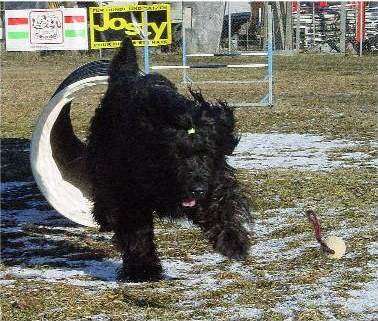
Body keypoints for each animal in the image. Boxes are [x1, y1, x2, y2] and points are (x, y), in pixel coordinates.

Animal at [86, 38, 252, 282]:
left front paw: (232, 241)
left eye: (205, 153)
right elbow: (137, 231)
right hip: (104, 159)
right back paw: (105, 217)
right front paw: (143, 269)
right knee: (103, 193)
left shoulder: (214, 178)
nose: (197, 189)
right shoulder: (132, 192)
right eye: (177, 155)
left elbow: (221, 204)